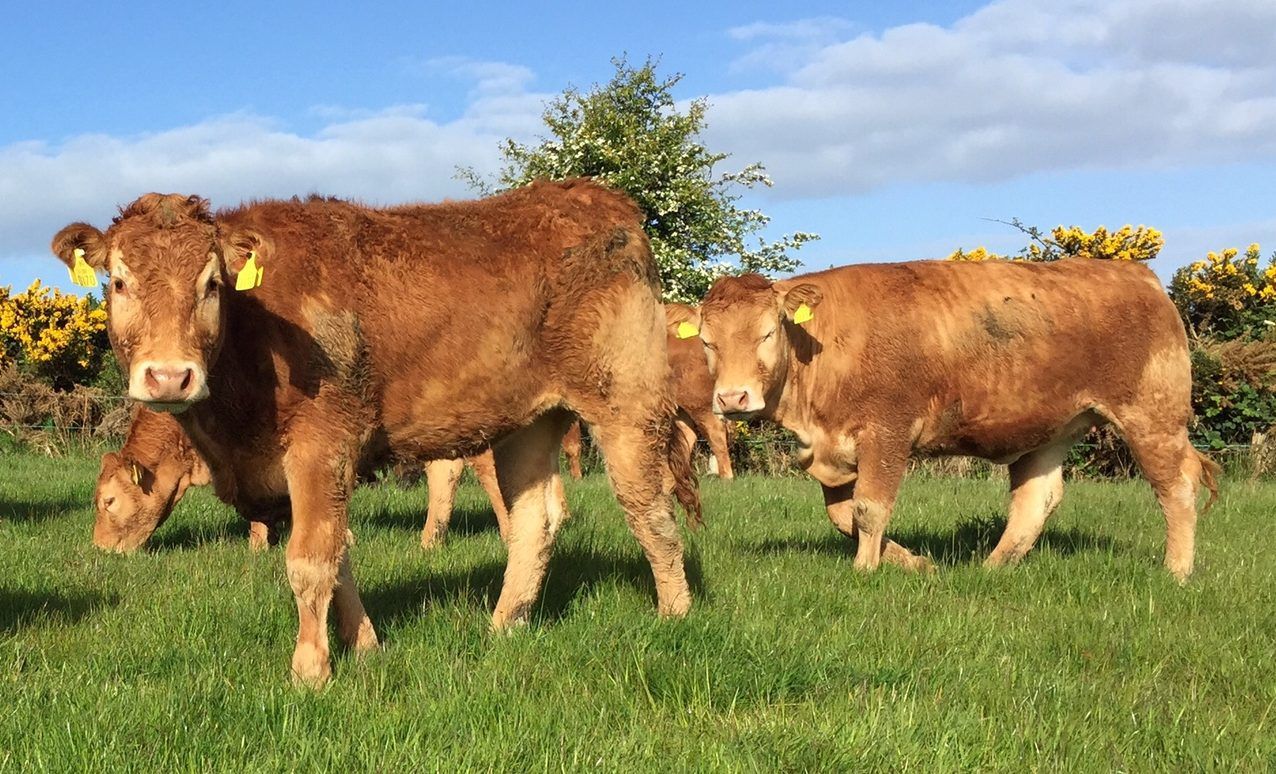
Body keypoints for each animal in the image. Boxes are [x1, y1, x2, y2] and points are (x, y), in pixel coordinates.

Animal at [52, 180, 699, 686]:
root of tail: (602, 200)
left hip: (627, 404)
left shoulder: (322, 445)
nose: (169, 375)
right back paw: (503, 625)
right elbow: (340, 555)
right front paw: (364, 646)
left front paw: (310, 671)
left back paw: (676, 615)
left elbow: (310, 559)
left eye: (211, 284)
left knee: (648, 508)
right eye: (118, 282)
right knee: (535, 520)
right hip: (529, 423)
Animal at [672, 260, 1219, 580]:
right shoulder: (830, 449)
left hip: (1152, 416)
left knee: (1177, 487)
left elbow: (869, 509)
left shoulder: (887, 432)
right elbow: (843, 516)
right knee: (1036, 500)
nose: (733, 397)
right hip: (1051, 430)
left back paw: (1176, 571)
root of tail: (1139, 276)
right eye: (707, 342)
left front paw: (866, 569)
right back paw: (993, 567)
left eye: (767, 333)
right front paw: (914, 561)